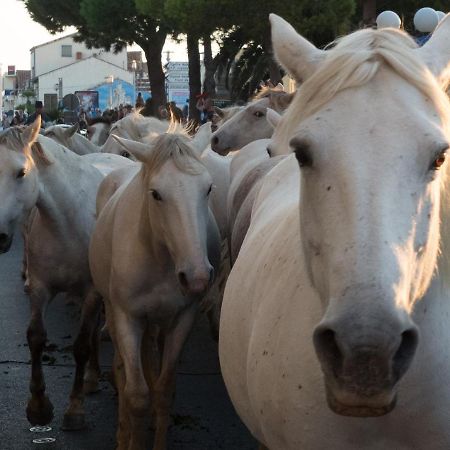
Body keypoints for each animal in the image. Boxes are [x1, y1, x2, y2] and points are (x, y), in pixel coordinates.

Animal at [0, 118, 130, 430]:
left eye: (21, 172)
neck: (66, 222)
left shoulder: (92, 292)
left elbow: (81, 345)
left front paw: (75, 409)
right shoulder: (39, 288)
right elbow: (35, 337)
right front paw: (38, 406)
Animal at [89, 125, 221, 448]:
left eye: (208, 189)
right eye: (156, 194)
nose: (198, 277)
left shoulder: (183, 317)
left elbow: (163, 389)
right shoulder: (128, 317)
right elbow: (137, 396)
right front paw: (130, 434)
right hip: (114, 310)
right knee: (123, 368)